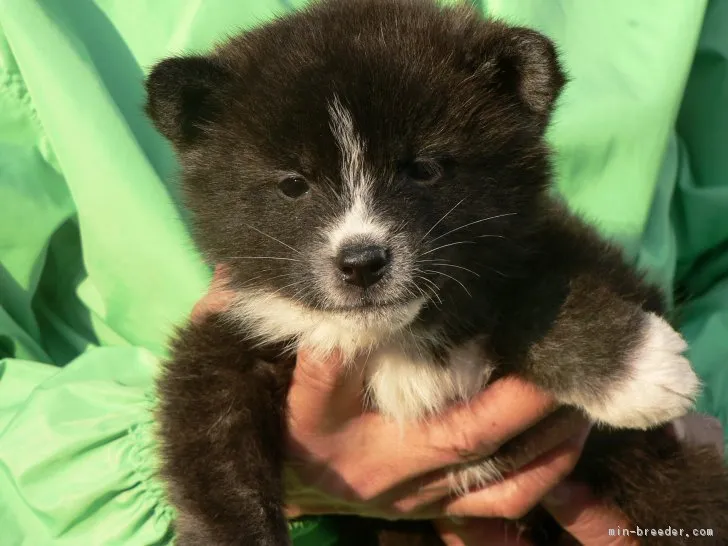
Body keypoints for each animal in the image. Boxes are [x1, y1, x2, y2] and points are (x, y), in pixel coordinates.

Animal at [145, 1, 728, 544]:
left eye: (423, 169)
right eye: (293, 184)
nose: (361, 262)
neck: (393, 338)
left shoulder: (551, 247)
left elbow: (535, 297)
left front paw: (639, 371)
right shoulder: (233, 335)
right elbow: (214, 450)